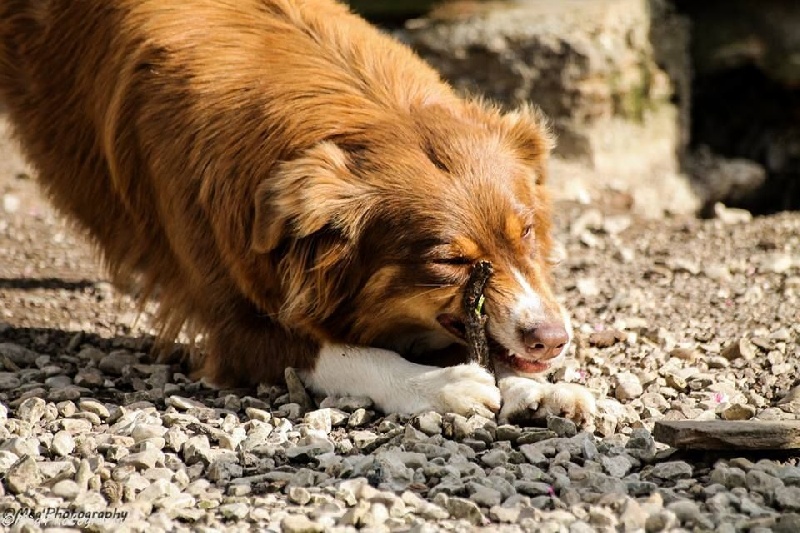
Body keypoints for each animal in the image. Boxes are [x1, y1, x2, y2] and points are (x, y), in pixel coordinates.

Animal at [0, 2, 592, 422]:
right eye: (449, 261)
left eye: (528, 232)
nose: (553, 340)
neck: (369, 112)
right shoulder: (234, 317)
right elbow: (342, 353)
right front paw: (441, 385)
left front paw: (539, 390)